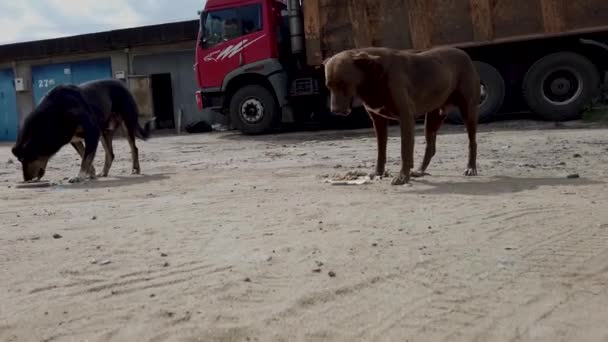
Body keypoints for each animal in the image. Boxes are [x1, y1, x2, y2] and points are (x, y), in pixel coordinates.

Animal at [11, 79, 153, 183]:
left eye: (23, 159)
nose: (26, 180)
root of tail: (121, 84)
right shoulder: (75, 140)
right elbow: (84, 155)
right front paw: (91, 173)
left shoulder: (92, 133)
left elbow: (86, 158)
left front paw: (79, 176)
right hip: (104, 132)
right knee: (110, 154)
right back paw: (104, 172)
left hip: (127, 124)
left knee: (134, 148)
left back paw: (135, 169)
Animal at [324, 46, 480, 184]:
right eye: (328, 86)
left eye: (343, 84)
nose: (335, 110)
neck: (373, 74)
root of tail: (463, 53)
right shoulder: (378, 121)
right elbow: (381, 150)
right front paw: (378, 173)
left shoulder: (406, 117)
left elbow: (405, 149)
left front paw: (402, 177)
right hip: (433, 119)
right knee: (431, 147)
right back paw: (420, 170)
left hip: (468, 112)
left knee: (472, 142)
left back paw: (471, 168)